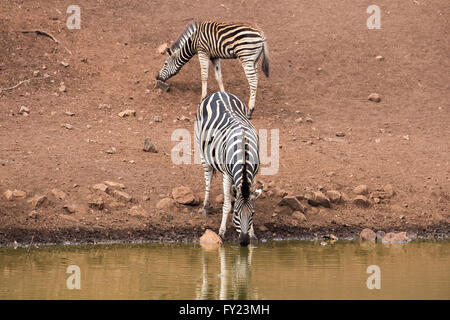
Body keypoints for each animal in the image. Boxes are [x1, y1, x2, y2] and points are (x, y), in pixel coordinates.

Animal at [194, 91, 264, 246]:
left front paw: (252, 234)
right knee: (208, 180)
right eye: (237, 214)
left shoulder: (254, 174)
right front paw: (221, 232)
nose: (244, 241)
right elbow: (226, 205)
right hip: (202, 152)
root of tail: (220, 93)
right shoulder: (226, 174)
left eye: (253, 214)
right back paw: (205, 207)